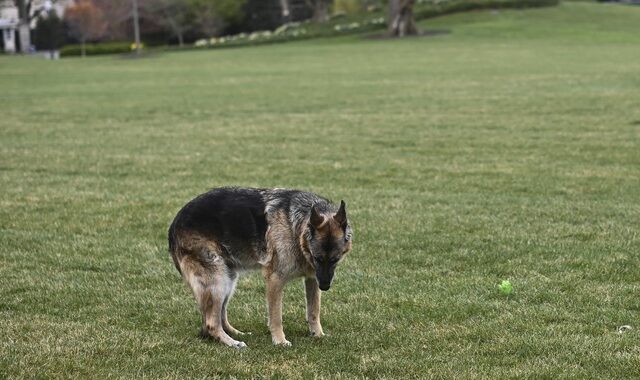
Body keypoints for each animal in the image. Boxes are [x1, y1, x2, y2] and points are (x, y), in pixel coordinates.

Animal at [168, 186, 352, 348]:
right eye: (317, 258)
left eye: (336, 259)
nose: (325, 286)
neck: (295, 226)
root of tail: (173, 225)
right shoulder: (275, 280)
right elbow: (276, 316)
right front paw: (279, 341)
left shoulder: (312, 278)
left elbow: (314, 310)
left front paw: (318, 335)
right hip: (218, 281)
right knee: (211, 323)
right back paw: (232, 343)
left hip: (229, 280)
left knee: (220, 317)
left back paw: (236, 334)